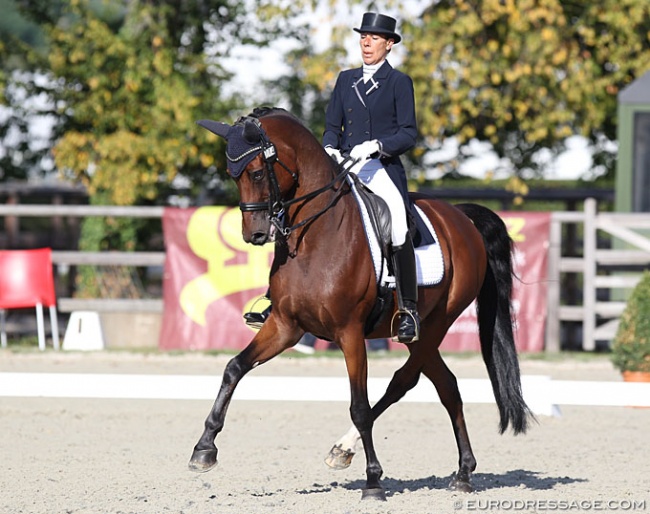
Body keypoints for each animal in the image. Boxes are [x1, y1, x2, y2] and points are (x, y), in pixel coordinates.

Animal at [189, 106, 532, 498]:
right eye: (233, 176)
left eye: (258, 172)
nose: (255, 234)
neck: (314, 236)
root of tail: (461, 217)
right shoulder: (285, 326)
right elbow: (235, 367)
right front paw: (204, 449)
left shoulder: (350, 333)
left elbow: (360, 406)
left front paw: (373, 480)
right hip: (424, 334)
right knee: (446, 385)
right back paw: (461, 472)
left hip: (434, 325)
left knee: (405, 381)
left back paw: (352, 451)